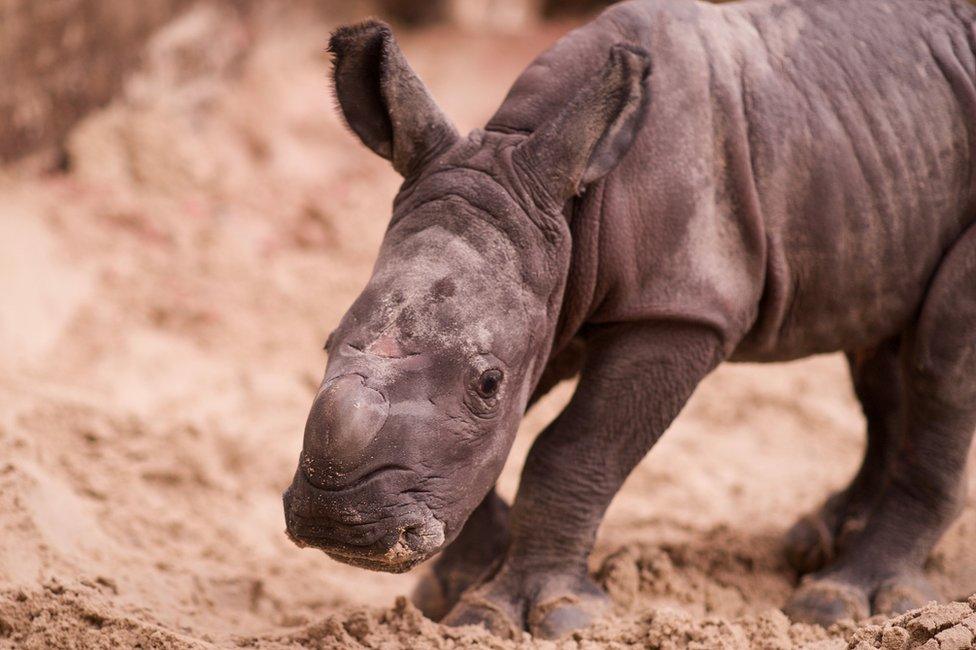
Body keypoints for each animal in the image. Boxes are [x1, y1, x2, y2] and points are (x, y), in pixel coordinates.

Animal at [282, 0, 976, 636]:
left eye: (487, 383)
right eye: (326, 343)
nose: (339, 524)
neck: (564, 204)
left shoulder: (678, 310)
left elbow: (575, 448)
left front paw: (527, 614)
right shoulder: (552, 299)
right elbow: (486, 449)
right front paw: (452, 593)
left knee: (940, 361)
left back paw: (836, 600)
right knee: (883, 351)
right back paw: (822, 539)